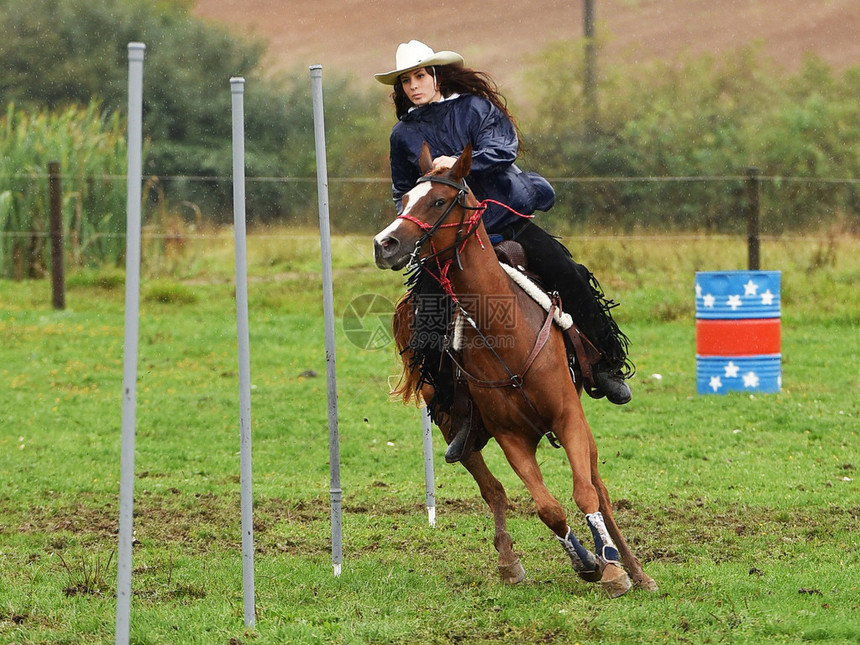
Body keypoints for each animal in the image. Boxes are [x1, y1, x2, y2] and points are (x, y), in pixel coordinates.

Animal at [372, 143, 656, 596]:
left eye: (439, 201)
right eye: (405, 199)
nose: (385, 243)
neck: (503, 333)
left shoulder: (568, 418)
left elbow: (585, 494)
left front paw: (612, 569)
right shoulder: (511, 437)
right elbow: (548, 508)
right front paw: (585, 561)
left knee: (599, 488)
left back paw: (634, 568)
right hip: (457, 432)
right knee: (493, 490)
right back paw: (509, 562)